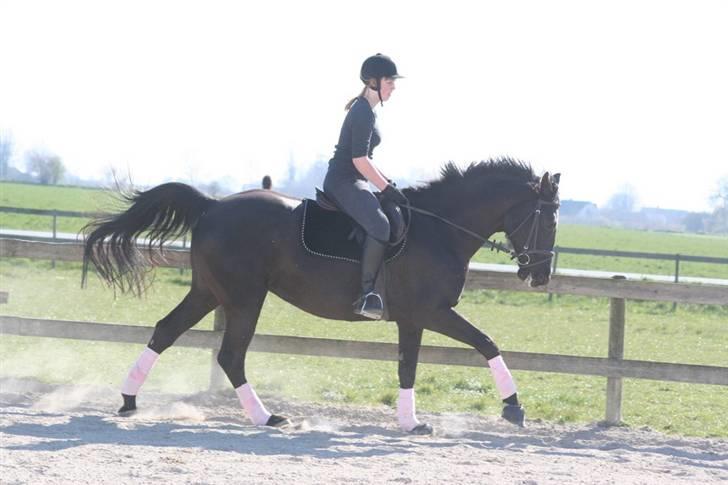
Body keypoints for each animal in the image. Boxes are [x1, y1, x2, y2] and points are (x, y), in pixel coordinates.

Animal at [82, 157, 560, 432]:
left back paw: (129, 402)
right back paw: (265, 416)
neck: (440, 228)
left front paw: (411, 421)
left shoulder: (415, 318)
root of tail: (213, 205)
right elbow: (482, 344)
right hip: (243, 298)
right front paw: (512, 408)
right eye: (549, 219)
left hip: (209, 293)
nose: (539, 275)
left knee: (165, 331)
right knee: (230, 355)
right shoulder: (430, 313)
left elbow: (413, 365)